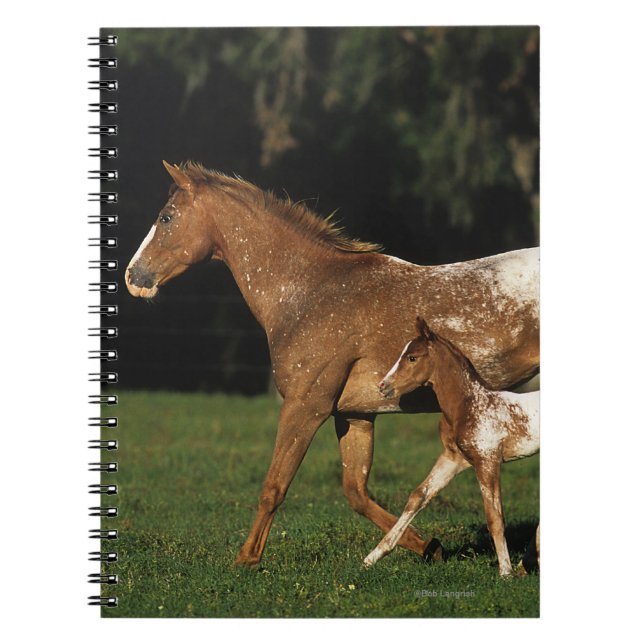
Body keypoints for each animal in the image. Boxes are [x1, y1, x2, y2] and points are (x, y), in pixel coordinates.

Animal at [365, 317, 539, 576]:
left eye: (412, 357)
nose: (383, 386)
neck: (469, 405)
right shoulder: (453, 458)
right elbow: (418, 496)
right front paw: (373, 556)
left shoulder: (487, 460)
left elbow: (495, 517)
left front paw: (505, 572)